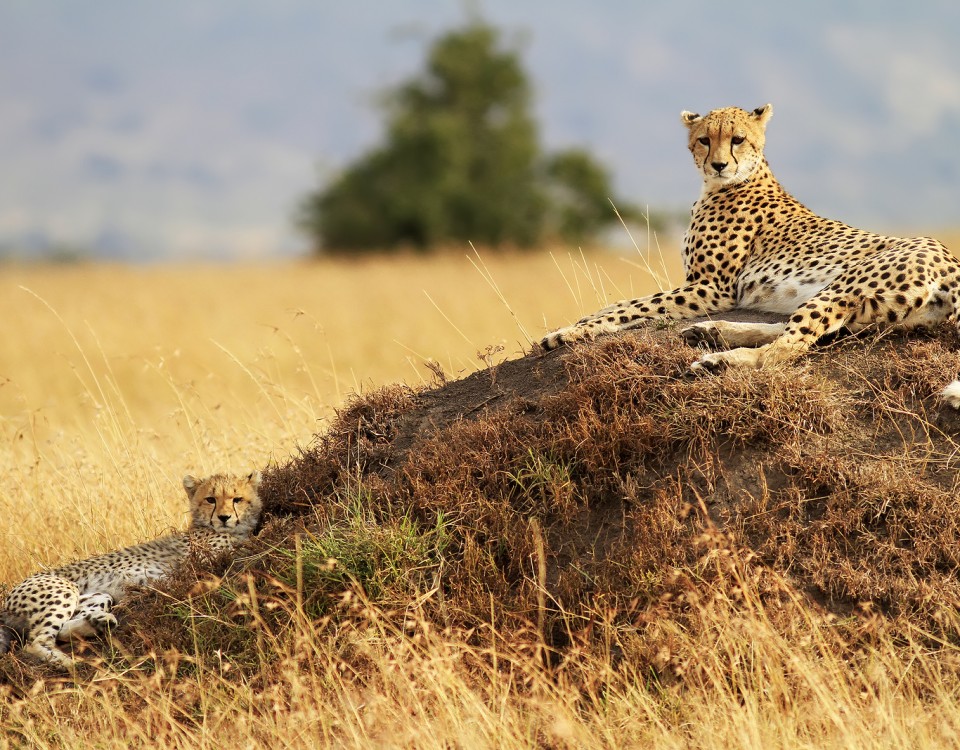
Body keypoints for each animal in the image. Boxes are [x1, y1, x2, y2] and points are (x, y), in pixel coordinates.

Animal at [0, 472, 262, 668]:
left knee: (62, 630)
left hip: (99, 595)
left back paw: (98, 624)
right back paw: (70, 664)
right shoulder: (204, 562)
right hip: (62, 589)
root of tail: (6, 599)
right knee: (35, 642)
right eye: (210, 499)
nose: (224, 517)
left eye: (237, 499)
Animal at [540, 105, 960, 406]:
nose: (719, 164)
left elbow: (630, 306)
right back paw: (712, 332)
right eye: (704, 140)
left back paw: (719, 359)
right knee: (810, 333)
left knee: (785, 351)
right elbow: (621, 304)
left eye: (737, 139)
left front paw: (567, 333)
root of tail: (949, 258)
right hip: (874, 313)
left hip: (846, 286)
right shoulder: (703, 285)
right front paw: (576, 324)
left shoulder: (712, 287)